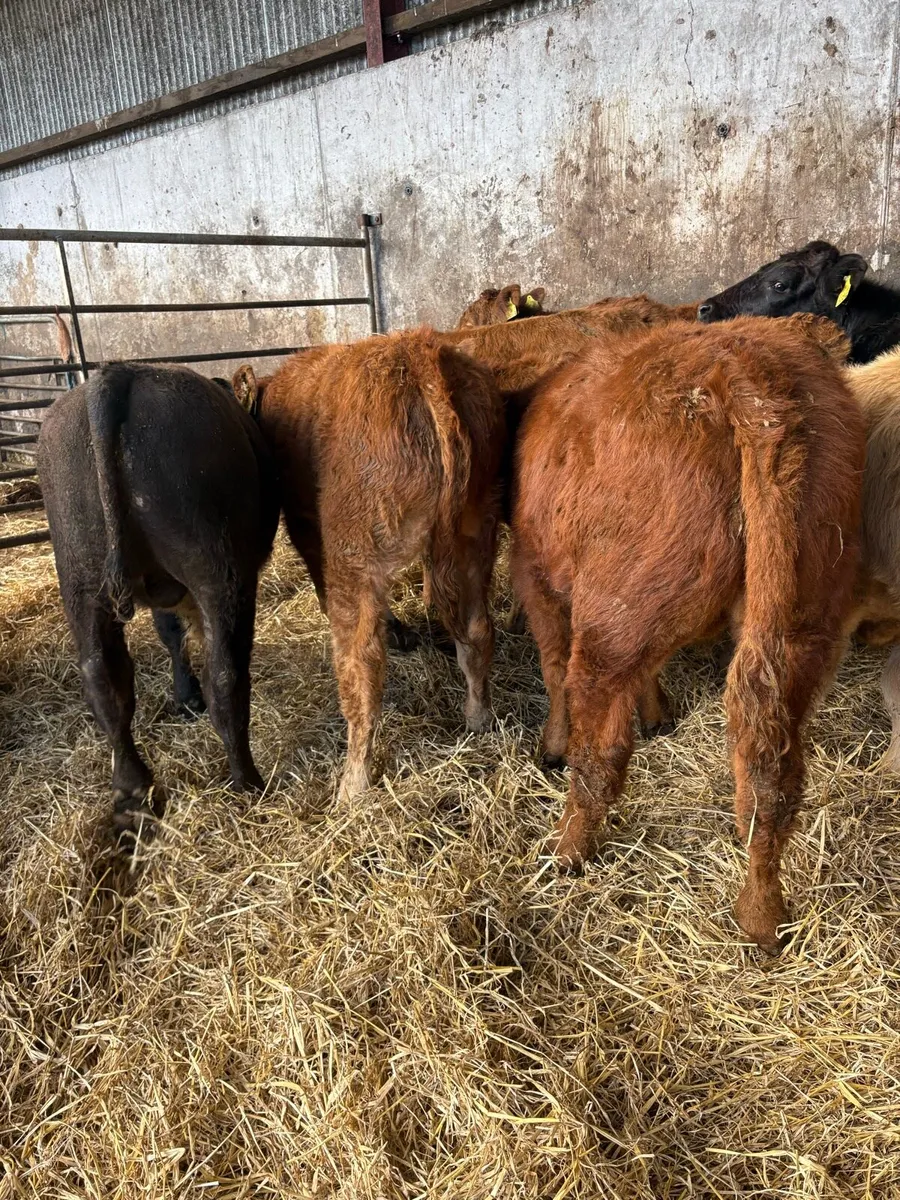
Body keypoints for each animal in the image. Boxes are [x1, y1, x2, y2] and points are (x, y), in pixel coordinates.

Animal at [37, 363, 280, 826]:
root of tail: (117, 375)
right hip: (219, 573)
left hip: (80, 583)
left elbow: (170, 633)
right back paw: (249, 783)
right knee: (226, 677)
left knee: (104, 681)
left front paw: (184, 698)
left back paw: (132, 794)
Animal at [232, 328, 505, 803]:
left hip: (355, 552)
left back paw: (352, 784)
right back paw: (478, 719)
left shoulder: (308, 528)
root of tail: (418, 352)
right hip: (476, 529)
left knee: (362, 662)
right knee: (476, 631)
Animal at [510, 314, 865, 953]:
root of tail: (745, 371)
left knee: (600, 749)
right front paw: (657, 714)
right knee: (768, 761)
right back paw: (762, 917)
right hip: (804, 617)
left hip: (612, 620)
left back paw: (567, 851)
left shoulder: (535, 576)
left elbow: (551, 668)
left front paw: (552, 744)